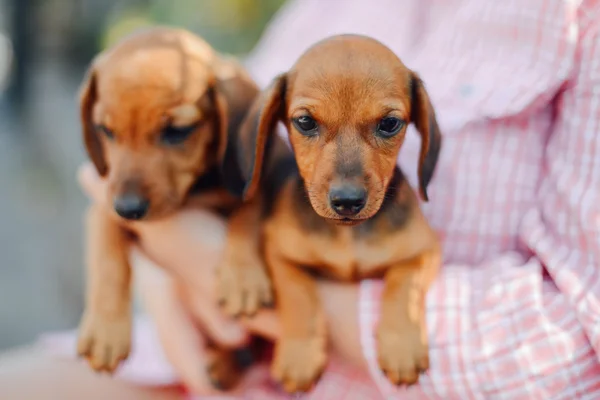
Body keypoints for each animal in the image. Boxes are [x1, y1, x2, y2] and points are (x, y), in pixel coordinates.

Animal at [76, 26, 274, 390]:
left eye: (177, 131)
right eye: (105, 130)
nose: (128, 208)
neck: (194, 192)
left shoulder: (258, 185)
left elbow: (247, 214)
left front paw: (243, 276)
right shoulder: (101, 207)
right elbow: (107, 257)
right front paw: (105, 330)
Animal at [232, 35, 442, 394]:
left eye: (389, 124)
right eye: (305, 122)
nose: (347, 201)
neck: (347, 235)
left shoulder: (425, 248)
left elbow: (405, 285)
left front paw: (401, 345)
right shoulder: (278, 251)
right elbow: (298, 292)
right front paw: (301, 355)